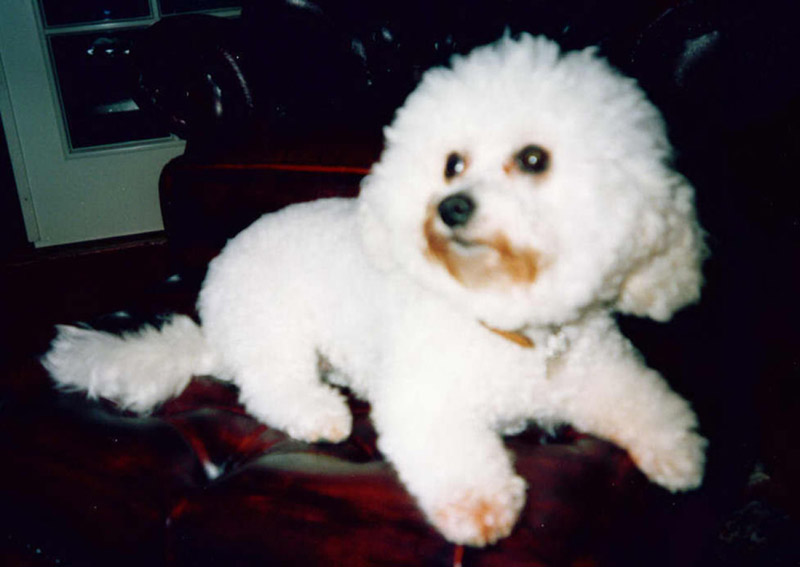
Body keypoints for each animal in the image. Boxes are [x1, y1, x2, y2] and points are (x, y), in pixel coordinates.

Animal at [43, 34, 708, 544]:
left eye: (534, 159)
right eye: (452, 163)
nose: (451, 207)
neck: (507, 318)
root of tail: (213, 326)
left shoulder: (604, 371)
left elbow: (645, 402)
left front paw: (677, 451)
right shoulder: (425, 401)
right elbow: (457, 461)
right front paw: (481, 509)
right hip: (273, 328)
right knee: (269, 387)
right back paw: (319, 413)